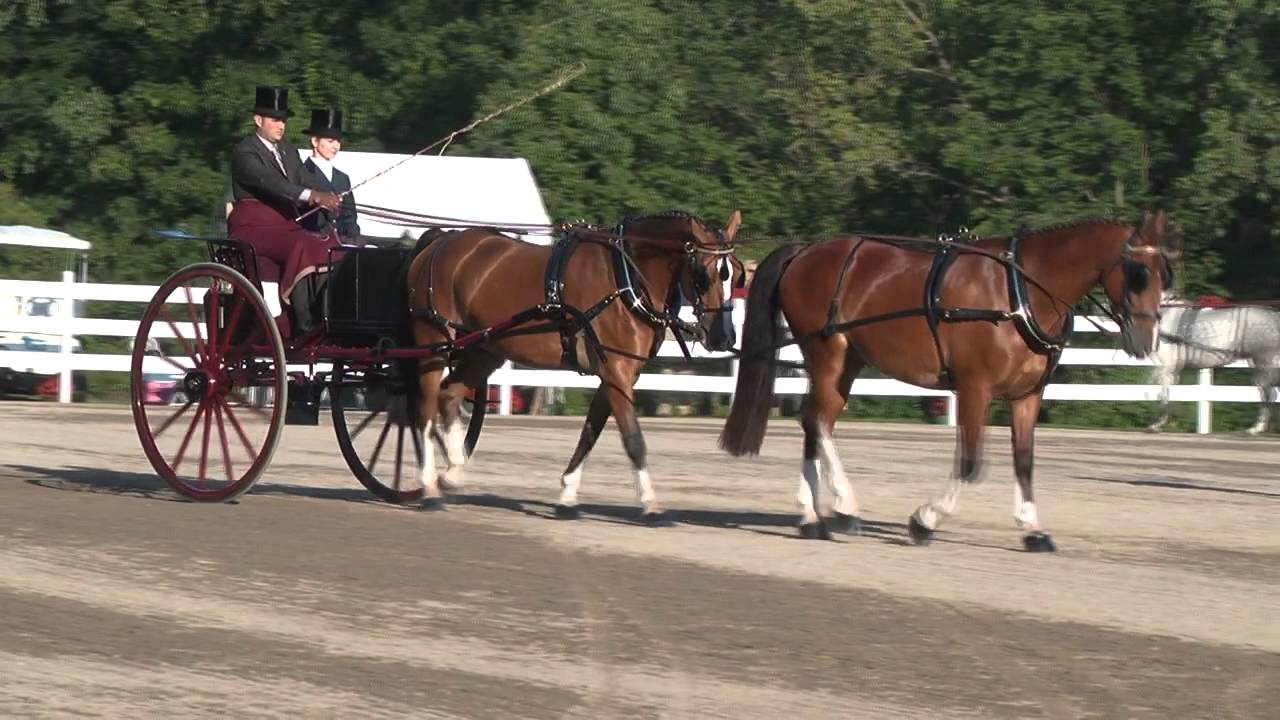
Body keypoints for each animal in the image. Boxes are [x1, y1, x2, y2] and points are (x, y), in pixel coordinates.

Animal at [407, 210, 745, 522]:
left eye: (736, 275)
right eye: (703, 275)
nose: (724, 337)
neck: (625, 279)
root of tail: (441, 241)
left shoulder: (618, 375)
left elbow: (590, 433)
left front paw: (567, 496)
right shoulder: (617, 372)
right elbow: (633, 439)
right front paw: (650, 503)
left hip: (485, 348)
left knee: (448, 395)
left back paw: (453, 472)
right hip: (434, 344)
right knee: (425, 412)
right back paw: (430, 488)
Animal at [720, 212, 1175, 551]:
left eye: (1165, 274)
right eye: (1138, 273)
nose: (1145, 339)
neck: (1021, 291)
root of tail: (805, 250)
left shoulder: (1028, 395)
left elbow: (1024, 461)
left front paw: (1032, 529)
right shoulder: (975, 388)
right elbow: (971, 463)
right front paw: (924, 520)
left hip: (846, 362)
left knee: (815, 423)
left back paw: (812, 516)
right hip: (827, 354)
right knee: (816, 421)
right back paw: (845, 507)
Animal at [1147, 294, 1280, 435]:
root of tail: (1275, 316)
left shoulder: (1166, 366)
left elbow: (1161, 395)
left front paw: (1155, 425)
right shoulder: (1172, 370)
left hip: (1265, 364)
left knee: (1268, 394)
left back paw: (1256, 428)